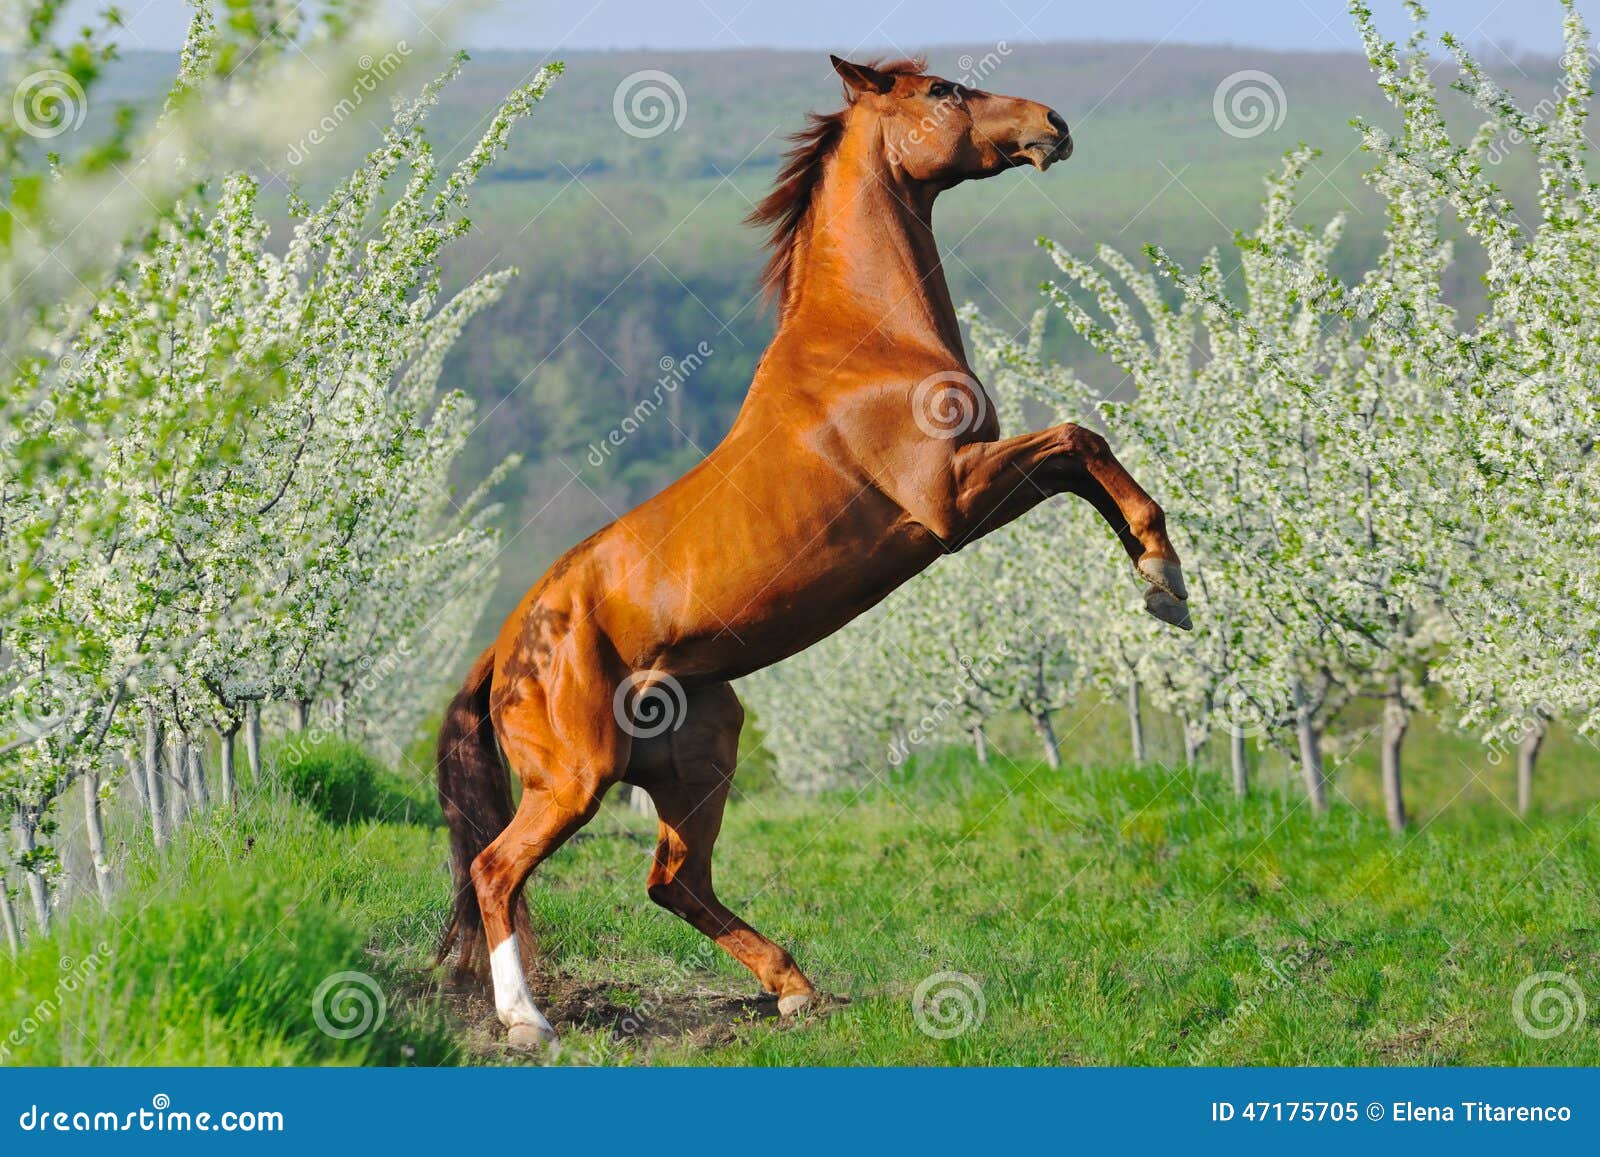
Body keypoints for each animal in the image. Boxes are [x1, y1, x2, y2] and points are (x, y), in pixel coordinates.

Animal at [438, 54, 1190, 1049]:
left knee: (674, 880)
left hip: (702, 749)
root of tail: (503, 649)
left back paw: (795, 987)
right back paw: (528, 1021)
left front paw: (1158, 582)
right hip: (576, 778)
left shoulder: (972, 492)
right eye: (942, 92)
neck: (868, 341)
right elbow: (1079, 438)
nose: (1053, 125)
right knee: (500, 868)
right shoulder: (951, 502)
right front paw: (1164, 575)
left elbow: (1079, 457)